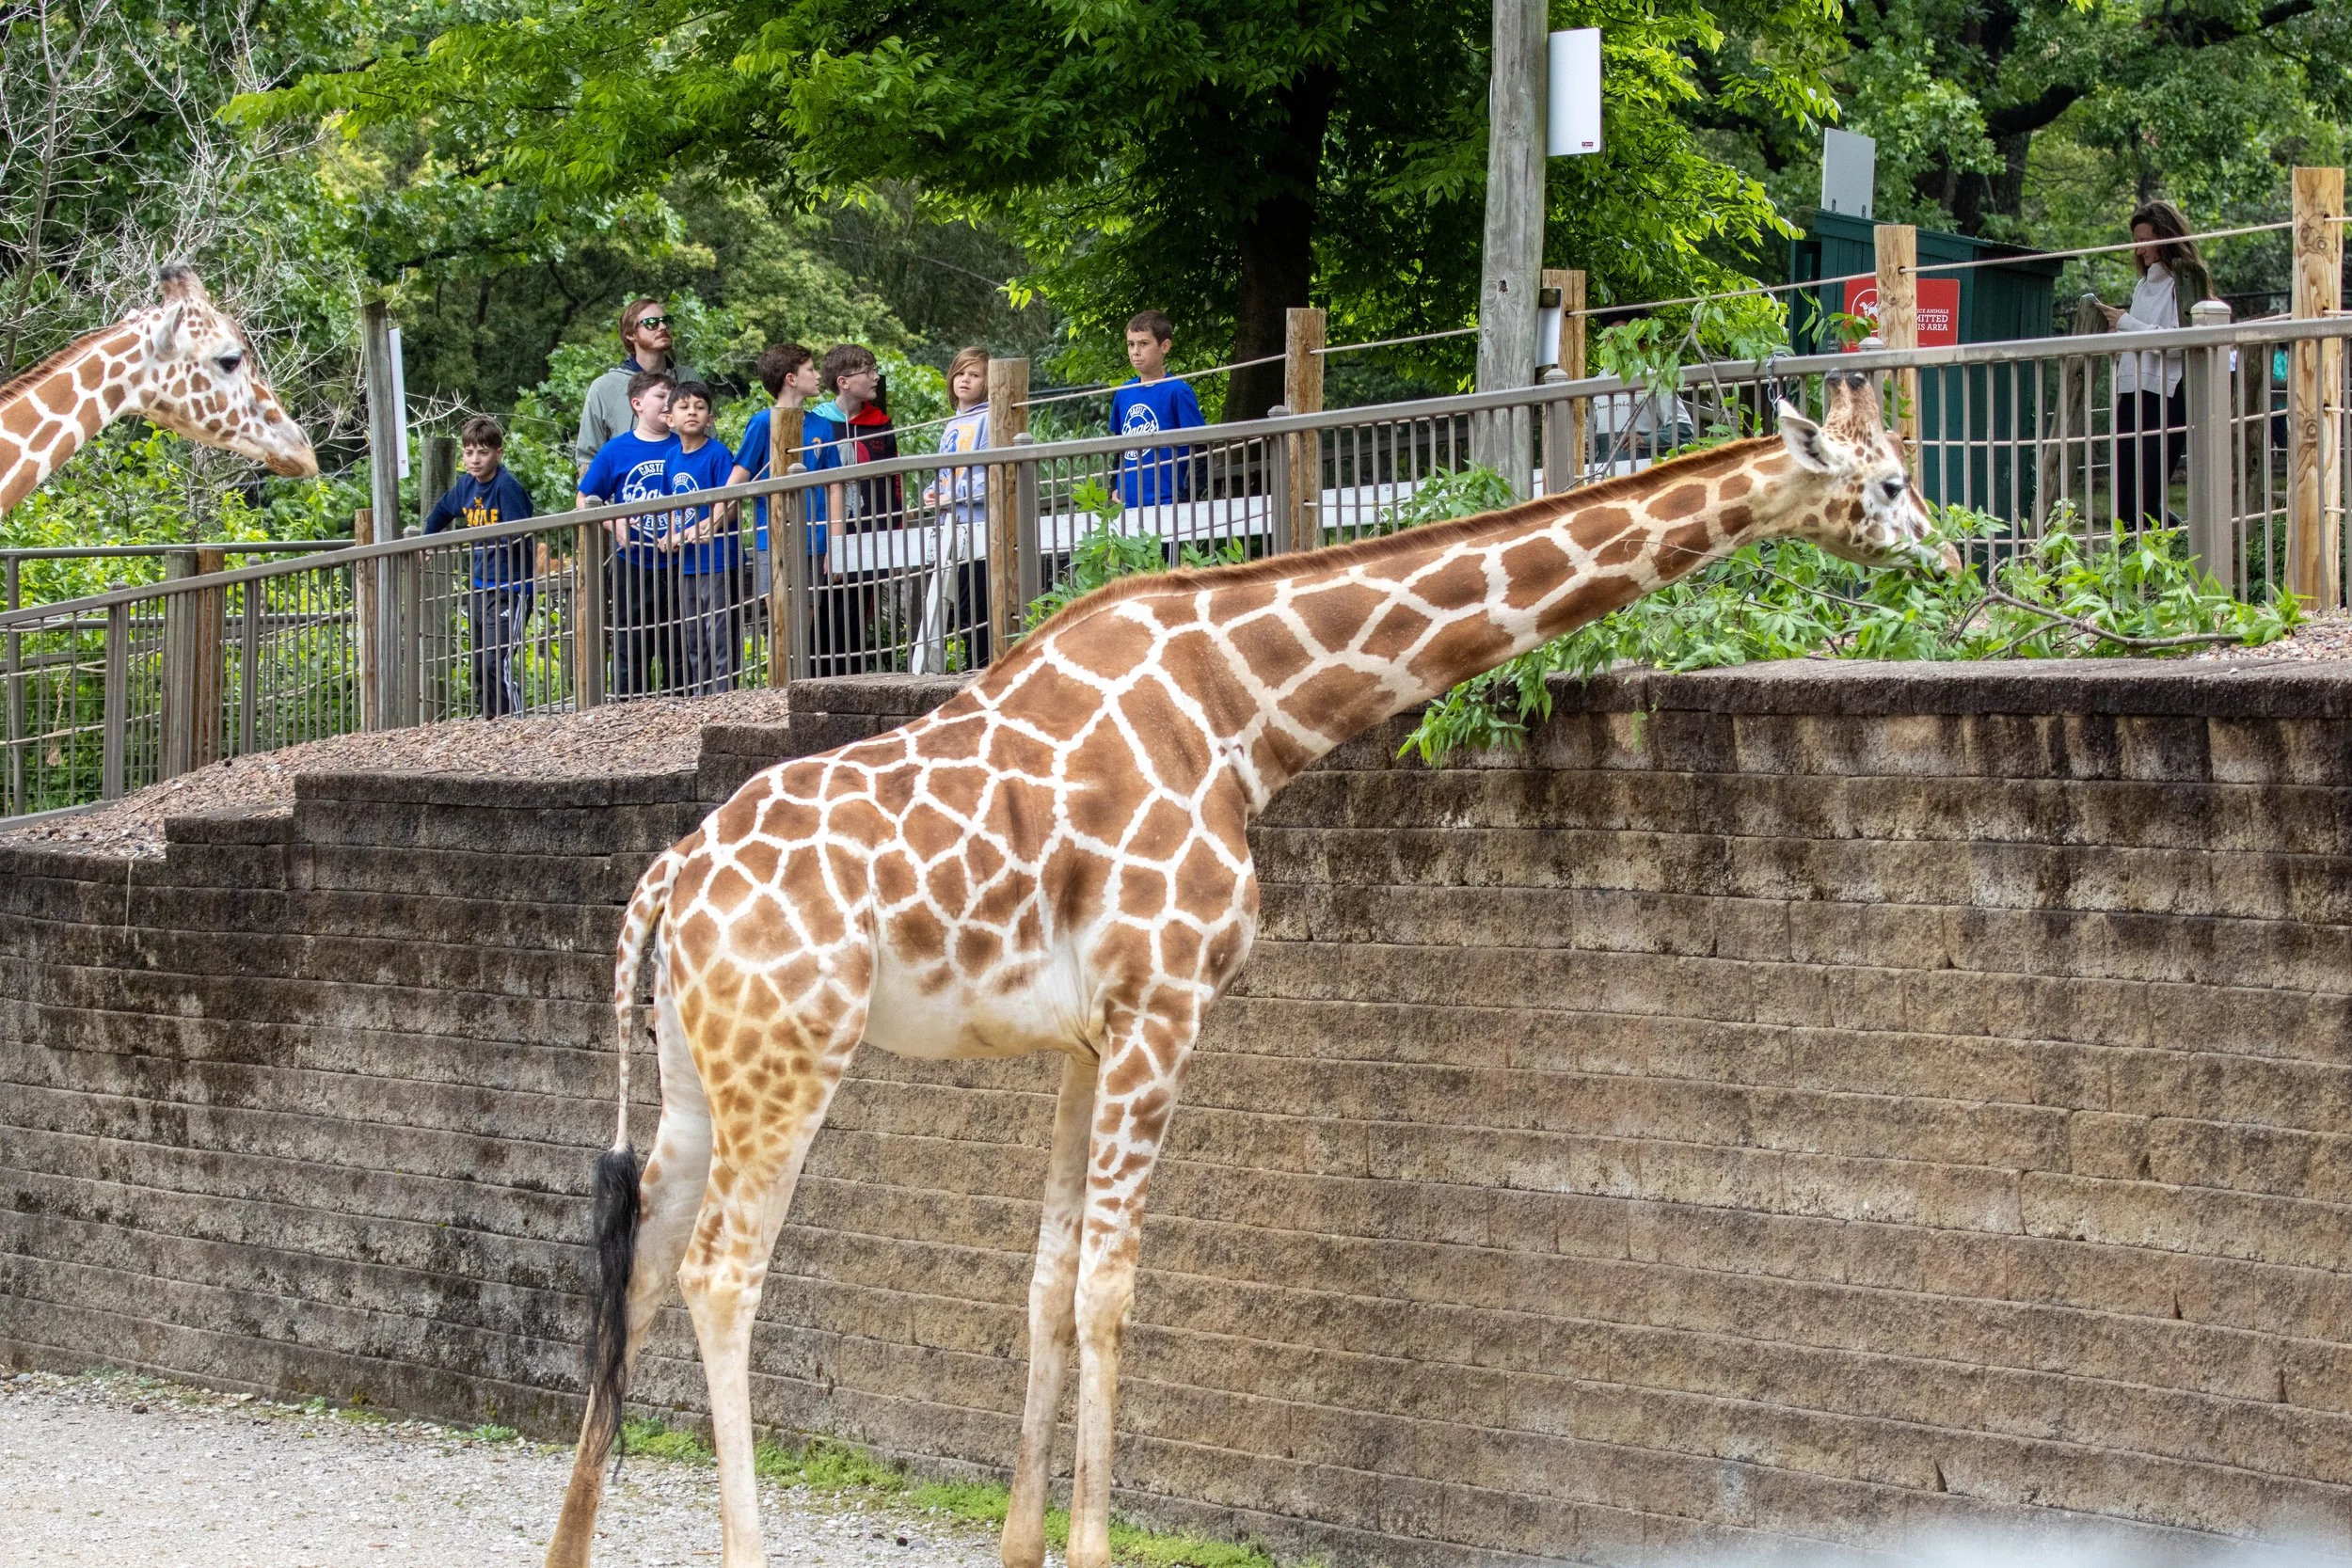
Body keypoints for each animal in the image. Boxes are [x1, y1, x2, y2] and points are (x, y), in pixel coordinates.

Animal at [543, 372, 1952, 1568]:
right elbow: (1112, 1285)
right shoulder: (1167, 1004)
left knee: (643, 1262)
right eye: (1888, 480)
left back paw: (569, 1545)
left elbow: (1048, 1281)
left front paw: (1023, 1543)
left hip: (695, 1070)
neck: (1246, 709)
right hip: (793, 1052)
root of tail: (669, 881)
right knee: (724, 1271)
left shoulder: (1088, 1033)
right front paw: (1093, 1547)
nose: (1948, 554)